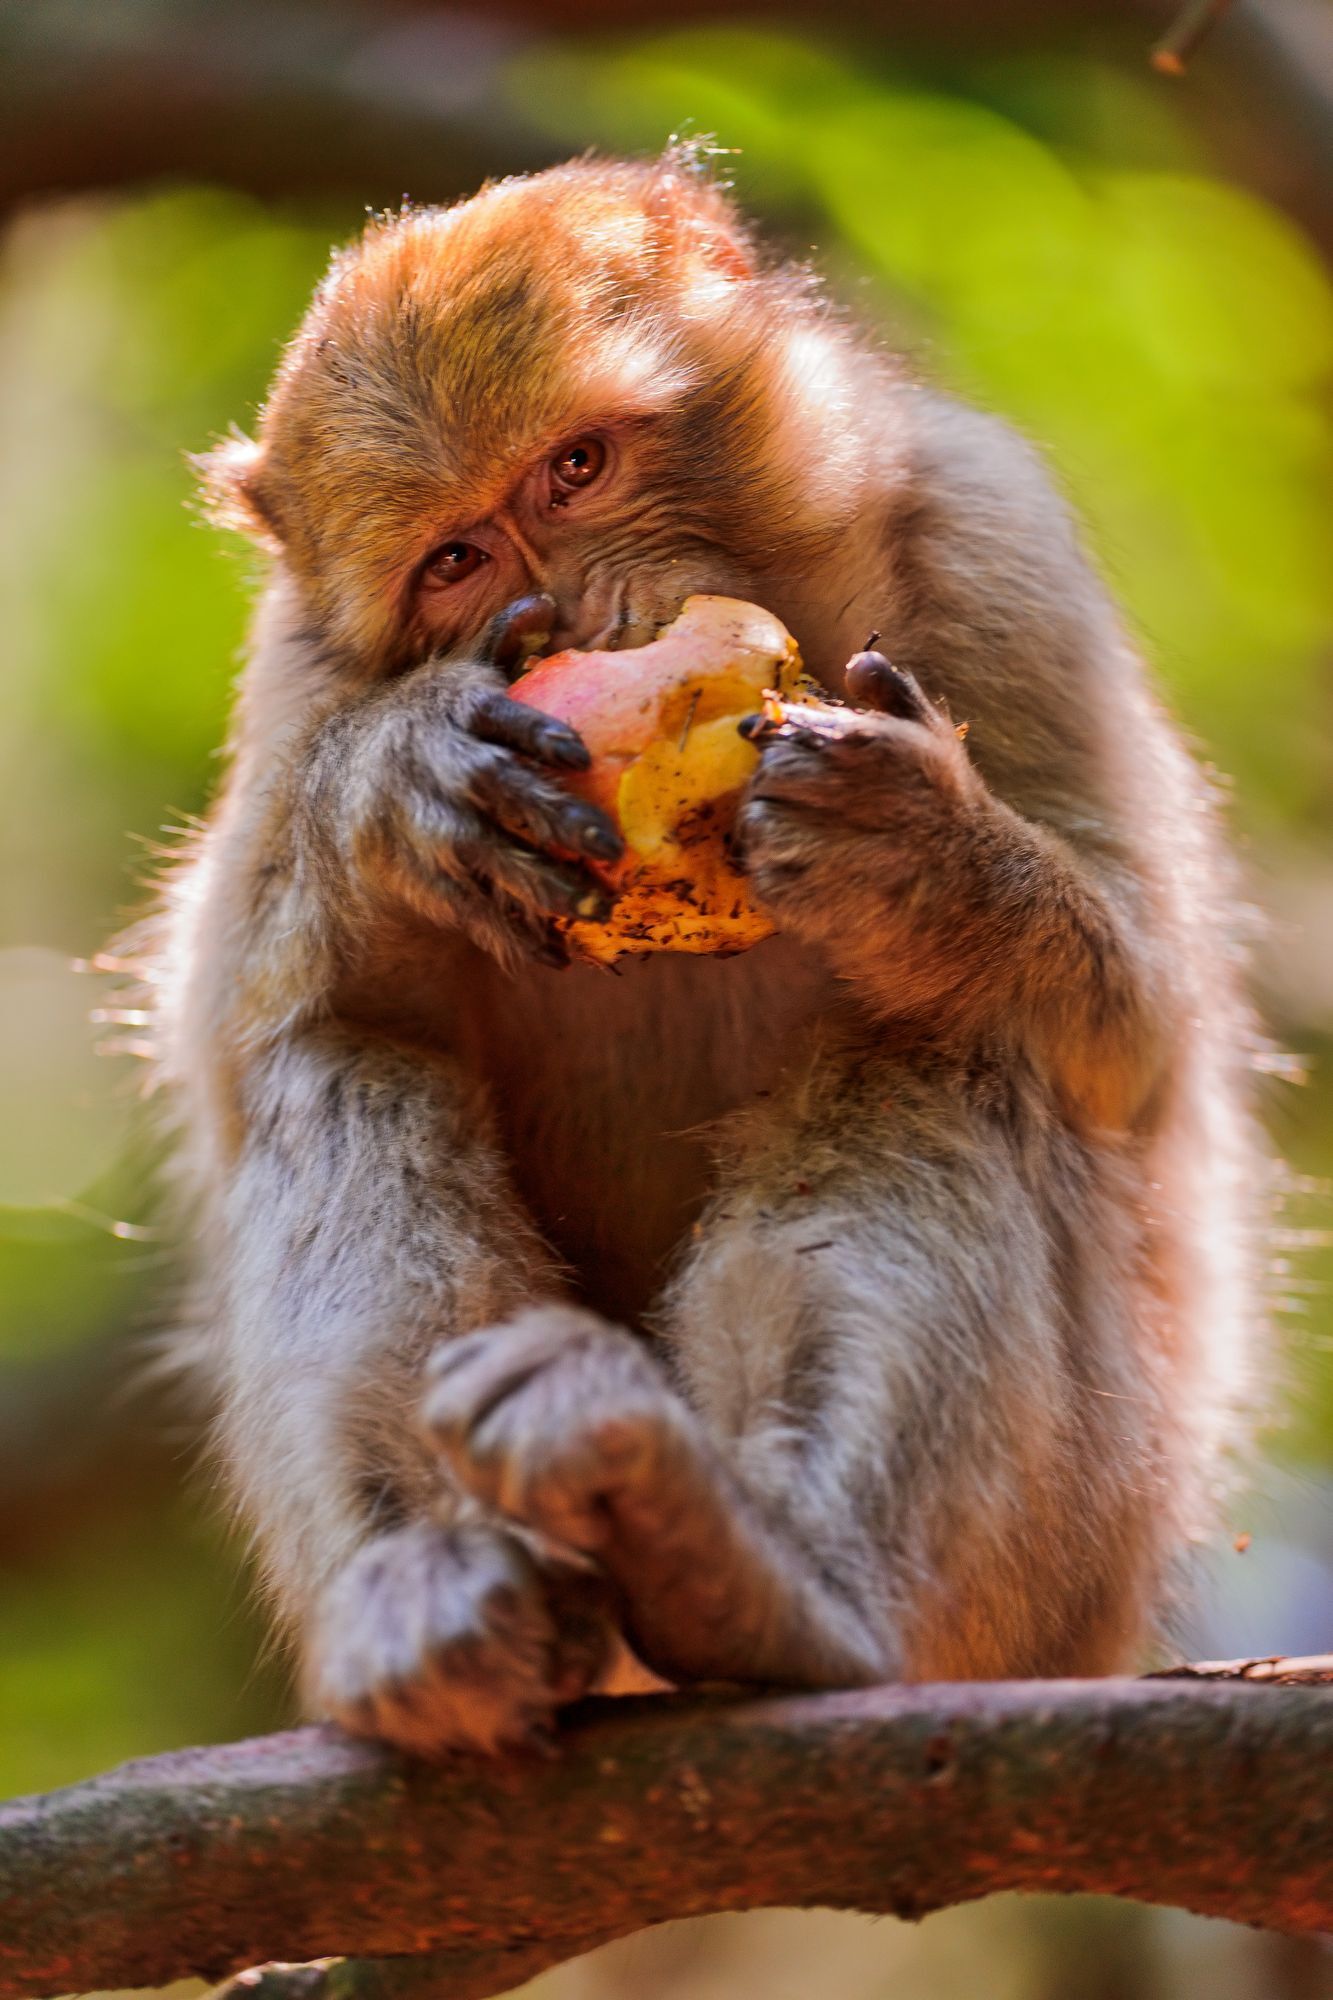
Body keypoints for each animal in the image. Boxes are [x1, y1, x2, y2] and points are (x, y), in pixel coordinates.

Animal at [145, 156, 1256, 1752]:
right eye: (456, 559)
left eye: (577, 468)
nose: (588, 612)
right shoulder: (297, 677)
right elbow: (233, 1034)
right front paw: (397, 788)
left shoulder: (995, 540)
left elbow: (1144, 1037)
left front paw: (925, 855)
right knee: (337, 1065)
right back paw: (444, 1596)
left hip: (1071, 1560)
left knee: (947, 1046)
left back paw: (772, 1573)